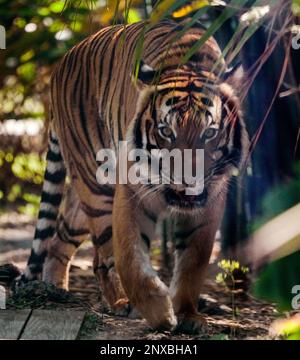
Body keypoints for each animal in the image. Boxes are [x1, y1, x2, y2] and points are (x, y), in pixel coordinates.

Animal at [17, 19, 250, 334]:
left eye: (209, 133)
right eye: (166, 131)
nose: (187, 181)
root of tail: (64, 59)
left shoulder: (211, 201)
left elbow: (193, 261)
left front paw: (187, 315)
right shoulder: (131, 191)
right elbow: (129, 257)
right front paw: (158, 312)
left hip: (80, 203)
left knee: (58, 239)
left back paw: (55, 290)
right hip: (96, 185)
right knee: (104, 254)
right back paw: (119, 302)